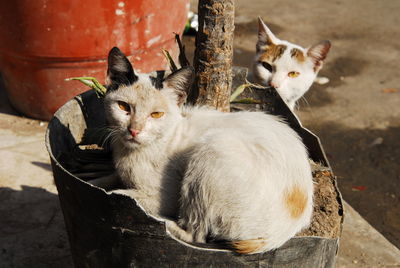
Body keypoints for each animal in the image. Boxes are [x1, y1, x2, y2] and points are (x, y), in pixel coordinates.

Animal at [104, 47, 314, 254]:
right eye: (123, 106)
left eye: (156, 115)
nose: (134, 130)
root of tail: (280, 235)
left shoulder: (163, 199)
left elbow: (119, 194)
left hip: (212, 150)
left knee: (196, 235)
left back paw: (164, 226)